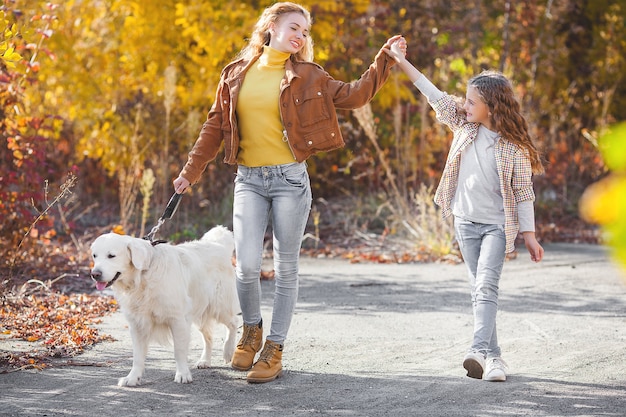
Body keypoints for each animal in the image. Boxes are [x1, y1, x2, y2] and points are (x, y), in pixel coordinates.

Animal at [90, 226, 239, 386]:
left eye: (111, 256)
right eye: (94, 256)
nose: (95, 274)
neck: (143, 275)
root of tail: (218, 245)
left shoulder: (177, 319)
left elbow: (179, 351)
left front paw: (182, 374)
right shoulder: (137, 324)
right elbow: (137, 356)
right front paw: (132, 377)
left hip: (220, 306)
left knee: (233, 323)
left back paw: (228, 351)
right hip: (199, 312)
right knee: (209, 336)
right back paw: (205, 360)